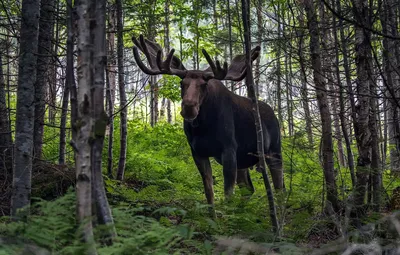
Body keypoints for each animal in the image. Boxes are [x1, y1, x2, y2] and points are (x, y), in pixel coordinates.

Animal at [134, 34, 284, 209]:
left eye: (204, 84)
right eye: (182, 83)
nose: (189, 107)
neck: (203, 127)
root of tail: (275, 116)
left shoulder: (229, 150)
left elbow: (228, 195)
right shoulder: (198, 152)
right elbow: (209, 193)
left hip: (274, 151)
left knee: (279, 188)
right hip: (244, 160)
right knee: (249, 189)